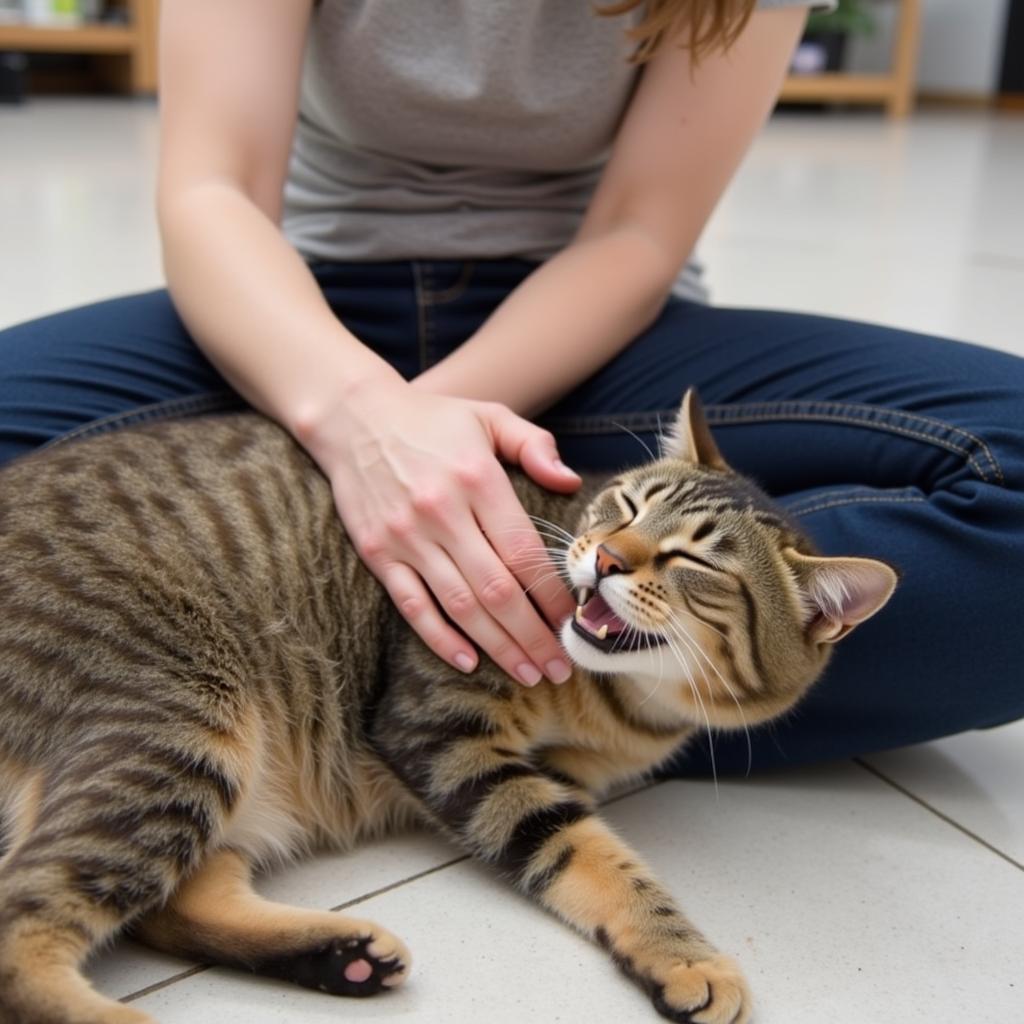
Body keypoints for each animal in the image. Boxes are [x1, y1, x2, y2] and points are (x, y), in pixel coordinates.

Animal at [0, 389, 897, 1024]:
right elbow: (591, 853)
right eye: (629, 507)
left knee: (171, 902)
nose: (605, 558)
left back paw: (340, 955)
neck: (616, 705)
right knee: (20, 940)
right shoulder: (444, 733)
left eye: (694, 564)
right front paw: (686, 955)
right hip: (184, 722)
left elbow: (580, 839)